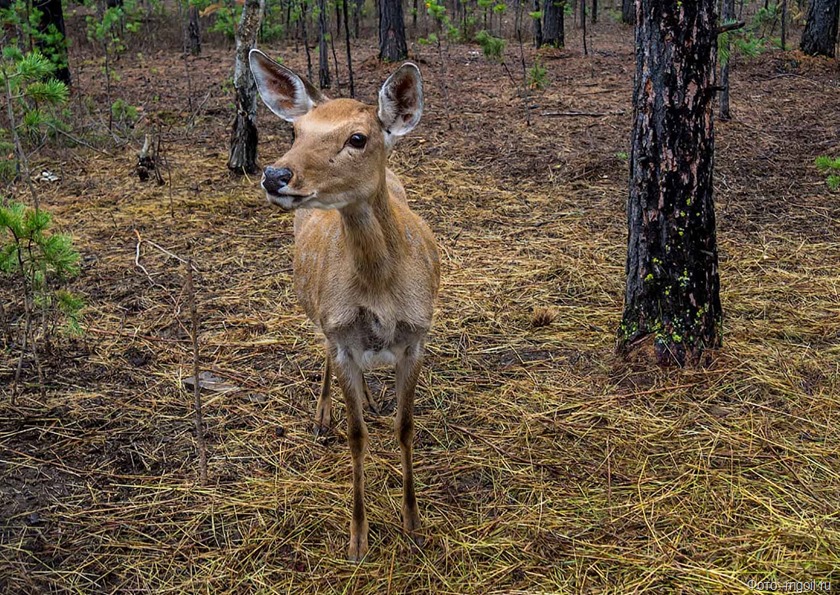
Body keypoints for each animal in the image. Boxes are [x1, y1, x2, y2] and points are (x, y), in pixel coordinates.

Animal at [249, 47, 442, 564]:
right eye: (296, 131)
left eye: (358, 137)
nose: (275, 174)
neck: (379, 292)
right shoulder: (341, 335)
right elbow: (358, 437)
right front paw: (358, 538)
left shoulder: (417, 336)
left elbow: (404, 427)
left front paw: (414, 524)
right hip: (320, 314)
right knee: (322, 348)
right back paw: (322, 414)